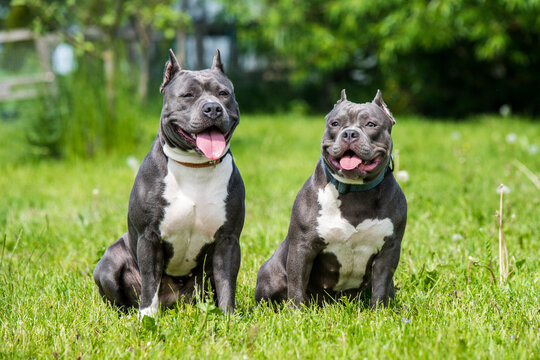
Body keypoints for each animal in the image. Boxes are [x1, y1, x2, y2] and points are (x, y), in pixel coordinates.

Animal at [93, 49, 245, 316]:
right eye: (187, 95)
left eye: (224, 93)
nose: (213, 108)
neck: (195, 166)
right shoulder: (149, 237)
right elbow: (150, 281)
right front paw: (147, 317)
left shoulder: (228, 240)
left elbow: (227, 281)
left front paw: (228, 316)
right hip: (108, 263)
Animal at [255, 89, 408, 306]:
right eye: (335, 123)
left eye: (371, 124)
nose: (350, 133)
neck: (355, 193)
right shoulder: (302, 247)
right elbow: (296, 285)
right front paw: (296, 312)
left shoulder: (389, 252)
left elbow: (380, 288)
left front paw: (380, 311)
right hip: (271, 272)